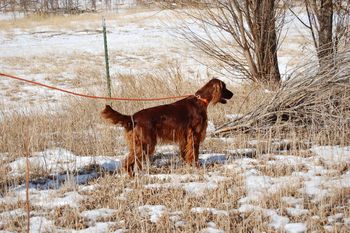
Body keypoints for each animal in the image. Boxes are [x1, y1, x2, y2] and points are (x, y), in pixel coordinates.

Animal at [100, 78, 232, 177]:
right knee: (128, 161)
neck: (200, 101)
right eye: (224, 87)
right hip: (146, 143)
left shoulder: (184, 138)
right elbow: (194, 152)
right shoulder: (194, 134)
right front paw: (196, 166)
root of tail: (133, 117)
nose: (232, 94)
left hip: (138, 143)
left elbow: (186, 153)